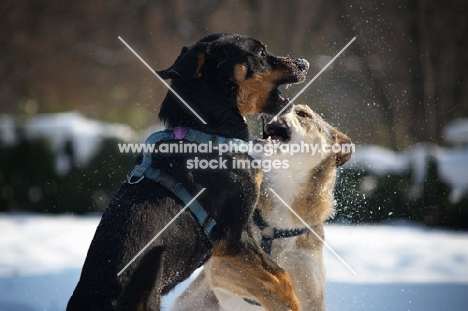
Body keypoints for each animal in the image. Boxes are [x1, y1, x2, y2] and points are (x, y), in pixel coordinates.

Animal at [65, 33, 308, 310]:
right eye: (259, 52)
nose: (304, 64)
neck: (209, 132)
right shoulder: (232, 238)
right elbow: (282, 278)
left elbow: (272, 278)